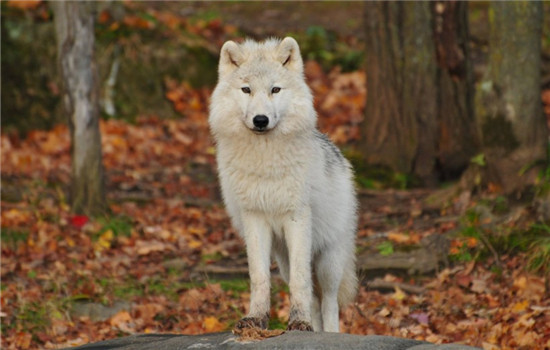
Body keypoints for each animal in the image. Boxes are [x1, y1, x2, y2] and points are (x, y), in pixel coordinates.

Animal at [209, 37, 360, 332]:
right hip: (283, 260)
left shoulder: (297, 217)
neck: (265, 161)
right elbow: (259, 277)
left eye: (275, 89)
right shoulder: (254, 218)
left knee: (329, 302)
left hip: (328, 260)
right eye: (246, 89)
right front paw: (256, 319)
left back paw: (328, 332)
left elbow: (302, 283)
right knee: (314, 299)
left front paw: (298, 321)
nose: (260, 120)